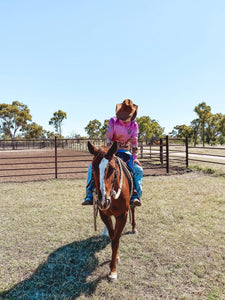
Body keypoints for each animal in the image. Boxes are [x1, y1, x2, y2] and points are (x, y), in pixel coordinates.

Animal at [88, 141, 137, 282]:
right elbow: (112, 235)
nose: (102, 201)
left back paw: (134, 227)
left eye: (112, 168)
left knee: (133, 209)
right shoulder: (104, 214)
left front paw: (113, 270)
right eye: (93, 167)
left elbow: (116, 240)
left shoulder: (122, 215)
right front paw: (116, 258)